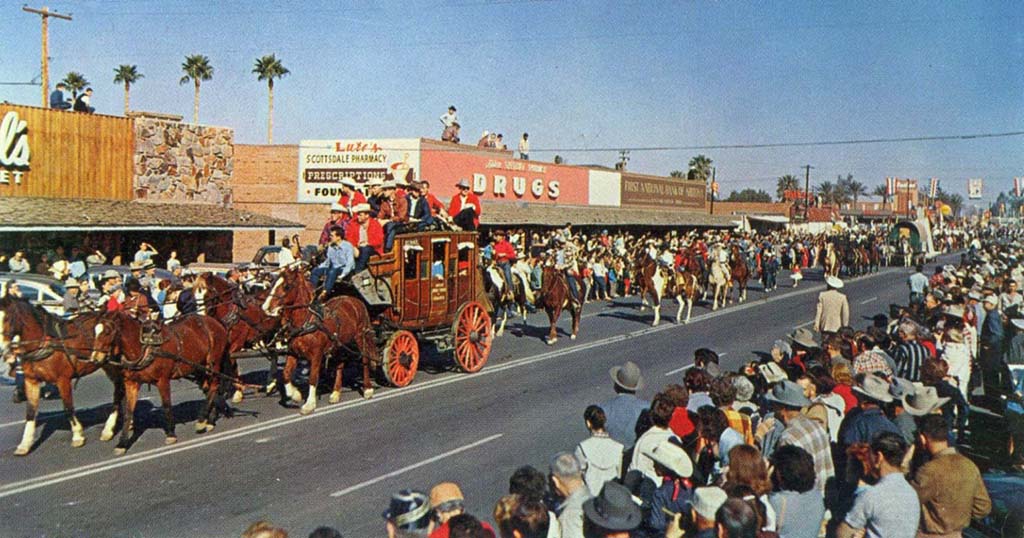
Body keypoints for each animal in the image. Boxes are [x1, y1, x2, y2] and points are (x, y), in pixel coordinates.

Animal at [0, 295, 124, 454]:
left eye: (7, 318)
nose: (2, 349)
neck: (44, 342)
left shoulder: (62, 380)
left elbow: (68, 407)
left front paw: (77, 436)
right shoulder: (31, 381)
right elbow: (31, 411)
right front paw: (25, 444)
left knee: (119, 391)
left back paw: (109, 428)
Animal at [90, 309, 232, 452]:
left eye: (108, 331)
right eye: (95, 331)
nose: (95, 358)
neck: (145, 347)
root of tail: (215, 322)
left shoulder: (162, 380)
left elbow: (166, 405)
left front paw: (171, 434)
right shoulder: (131, 383)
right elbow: (128, 412)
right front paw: (122, 443)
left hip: (213, 363)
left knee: (214, 386)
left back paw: (202, 420)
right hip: (199, 367)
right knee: (209, 388)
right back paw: (210, 420)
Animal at [262, 266, 378, 414]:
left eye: (286, 286)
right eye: (272, 284)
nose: (265, 307)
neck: (306, 322)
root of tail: (355, 300)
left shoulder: (316, 354)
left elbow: (313, 377)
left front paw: (309, 404)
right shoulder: (293, 353)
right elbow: (286, 374)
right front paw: (296, 394)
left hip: (360, 336)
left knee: (365, 360)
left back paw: (368, 389)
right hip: (339, 344)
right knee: (340, 364)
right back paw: (335, 393)